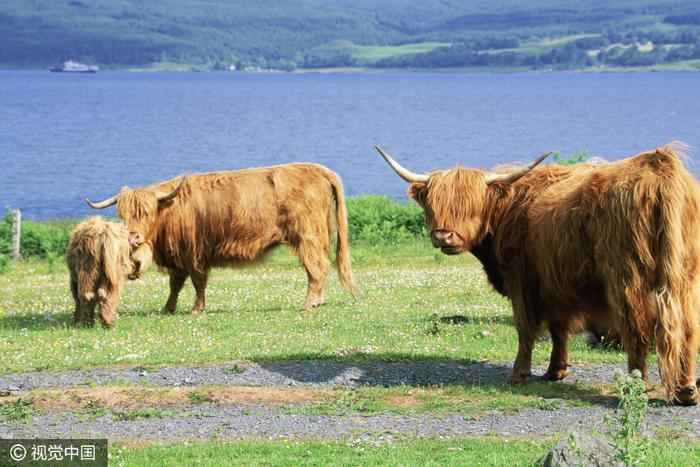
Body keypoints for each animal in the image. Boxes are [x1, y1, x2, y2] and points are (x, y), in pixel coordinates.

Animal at [87, 164, 360, 314]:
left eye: (146, 212)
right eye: (122, 214)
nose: (133, 237)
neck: (169, 210)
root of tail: (319, 170)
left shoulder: (193, 253)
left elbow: (197, 282)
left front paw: (196, 309)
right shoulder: (178, 258)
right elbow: (176, 284)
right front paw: (168, 308)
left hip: (306, 237)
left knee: (317, 268)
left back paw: (309, 303)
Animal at [378, 143, 700, 406]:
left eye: (470, 205)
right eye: (433, 205)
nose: (443, 236)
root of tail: (659, 166)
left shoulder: (521, 279)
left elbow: (526, 328)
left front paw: (519, 374)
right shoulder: (555, 283)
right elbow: (559, 328)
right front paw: (556, 370)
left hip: (627, 275)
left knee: (637, 326)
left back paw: (636, 385)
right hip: (685, 275)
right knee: (685, 326)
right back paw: (685, 391)